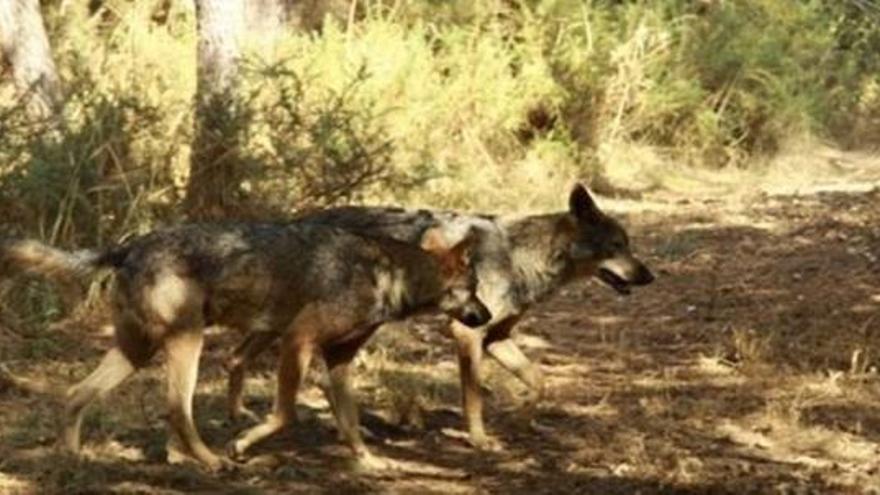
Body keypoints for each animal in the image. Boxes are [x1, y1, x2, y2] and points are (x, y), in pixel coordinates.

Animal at [0, 221, 488, 468]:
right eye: (474, 288)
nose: (486, 317)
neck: (390, 276)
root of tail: (128, 245)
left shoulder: (339, 361)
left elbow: (349, 422)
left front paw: (368, 462)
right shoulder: (297, 339)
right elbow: (286, 415)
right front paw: (242, 444)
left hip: (137, 353)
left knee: (75, 394)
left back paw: (73, 457)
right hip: (187, 344)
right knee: (176, 409)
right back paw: (211, 460)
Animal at [227, 185, 652, 450]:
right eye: (617, 245)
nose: (650, 276)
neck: (521, 257)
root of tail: (298, 219)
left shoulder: (496, 337)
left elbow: (539, 381)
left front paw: (524, 422)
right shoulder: (467, 334)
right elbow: (474, 398)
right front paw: (480, 441)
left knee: (242, 356)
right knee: (282, 365)